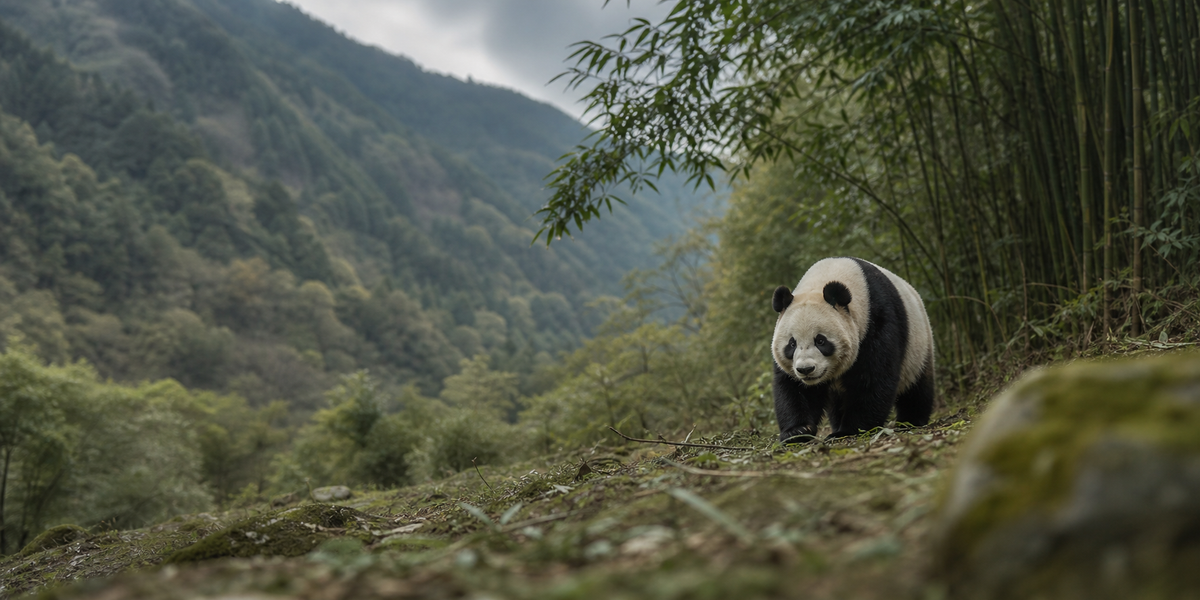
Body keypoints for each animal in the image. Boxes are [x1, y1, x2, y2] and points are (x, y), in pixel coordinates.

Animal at [771, 257, 935, 442]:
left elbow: (873, 378)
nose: (806, 370)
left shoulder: (877, 320)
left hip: (919, 346)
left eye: (820, 340)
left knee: (917, 387)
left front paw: (850, 430)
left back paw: (911, 420)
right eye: (792, 344)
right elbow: (793, 387)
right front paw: (797, 431)